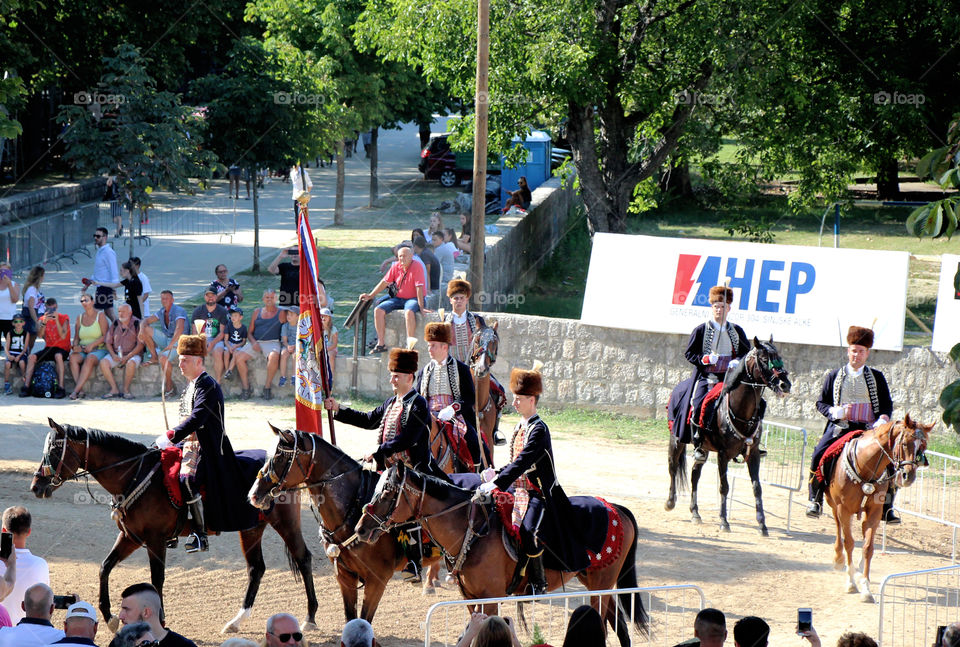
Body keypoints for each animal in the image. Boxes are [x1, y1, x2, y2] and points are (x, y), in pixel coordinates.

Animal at [27, 418, 316, 636]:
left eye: (54, 451)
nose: (36, 487)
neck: (134, 475)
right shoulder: (130, 537)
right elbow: (104, 567)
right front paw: (109, 616)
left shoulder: (155, 540)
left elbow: (157, 579)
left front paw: (160, 619)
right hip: (251, 528)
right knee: (256, 569)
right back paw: (236, 621)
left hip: (285, 523)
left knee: (303, 558)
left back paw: (310, 617)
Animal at [246, 426, 444, 624]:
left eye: (280, 457)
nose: (253, 495)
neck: (354, 508)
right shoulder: (345, 577)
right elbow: (351, 619)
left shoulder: (377, 580)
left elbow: (364, 621)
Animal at [350, 464, 644, 647]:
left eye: (388, 491)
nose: (360, 529)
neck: (470, 530)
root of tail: (613, 506)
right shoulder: (470, 598)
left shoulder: (491, 597)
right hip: (597, 583)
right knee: (618, 625)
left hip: (601, 585)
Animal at [664, 336, 792, 536]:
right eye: (764, 359)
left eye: (779, 357)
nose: (785, 384)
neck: (742, 412)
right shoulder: (723, 454)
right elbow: (724, 487)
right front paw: (724, 521)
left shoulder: (753, 454)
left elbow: (757, 488)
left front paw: (762, 525)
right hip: (676, 440)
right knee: (673, 467)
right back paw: (670, 502)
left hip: (704, 449)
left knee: (694, 474)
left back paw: (695, 513)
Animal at [824, 416, 928, 604]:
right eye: (904, 443)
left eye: (922, 448)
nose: (908, 477)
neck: (865, 467)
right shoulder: (844, 509)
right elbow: (849, 542)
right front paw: (850, 582)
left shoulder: (874, 512)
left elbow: (868, 547)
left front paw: (865, 587)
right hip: (833, 504)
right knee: (838, 527)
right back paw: (839, 559)